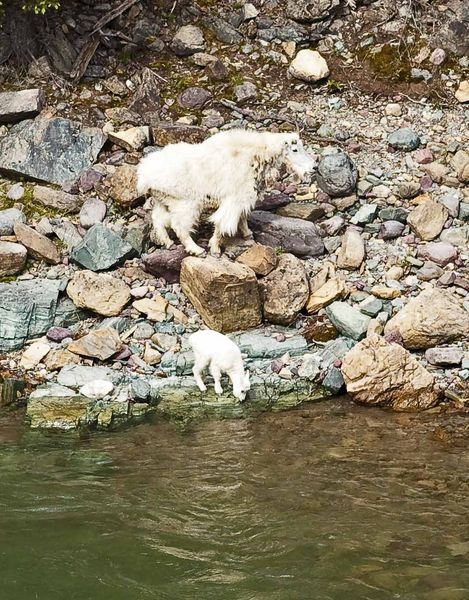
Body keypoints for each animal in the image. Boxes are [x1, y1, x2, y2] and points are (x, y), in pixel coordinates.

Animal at [137, 129, 316, 255]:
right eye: (294, 150)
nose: (313, 167)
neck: (256, 156)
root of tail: (144, 176)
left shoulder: (242, 198)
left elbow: (242, 217)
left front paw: (247, 234)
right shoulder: (235, 198)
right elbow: (222, 223)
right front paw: (215, 247)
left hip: (163, 201)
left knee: (158, 220)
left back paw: (168, 242)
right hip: (185, 203)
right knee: (179, 226)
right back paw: (196, 249)